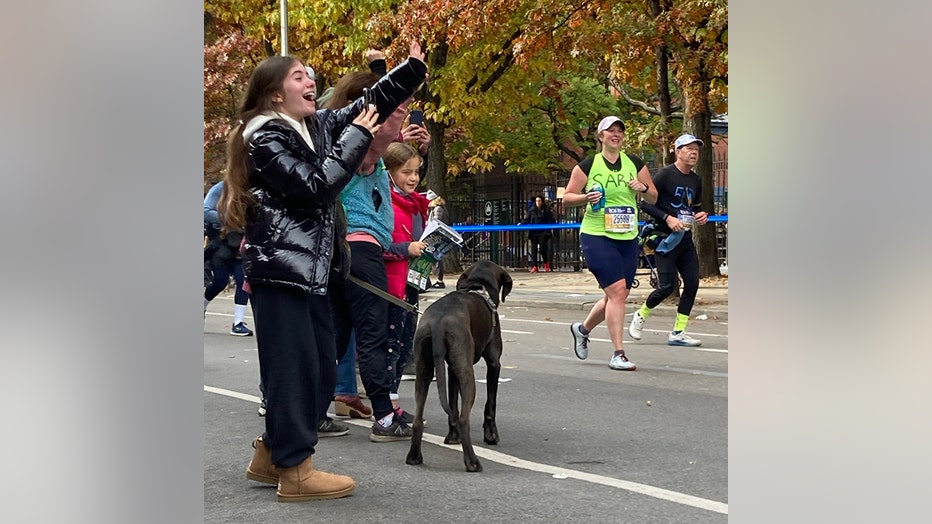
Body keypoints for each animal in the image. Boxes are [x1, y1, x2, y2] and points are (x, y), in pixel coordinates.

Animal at [404, 258, 512, 470]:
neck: (478, 287)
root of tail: (438, 323)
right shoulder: (494, 363)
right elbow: (490, 403)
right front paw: (491, 435)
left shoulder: (452, 370)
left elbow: (453, 402)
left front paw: (452, 437)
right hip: (467, 375)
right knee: (463, 419)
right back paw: (472, 462)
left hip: (424, 371)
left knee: (419, 419)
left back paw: (414, 456)